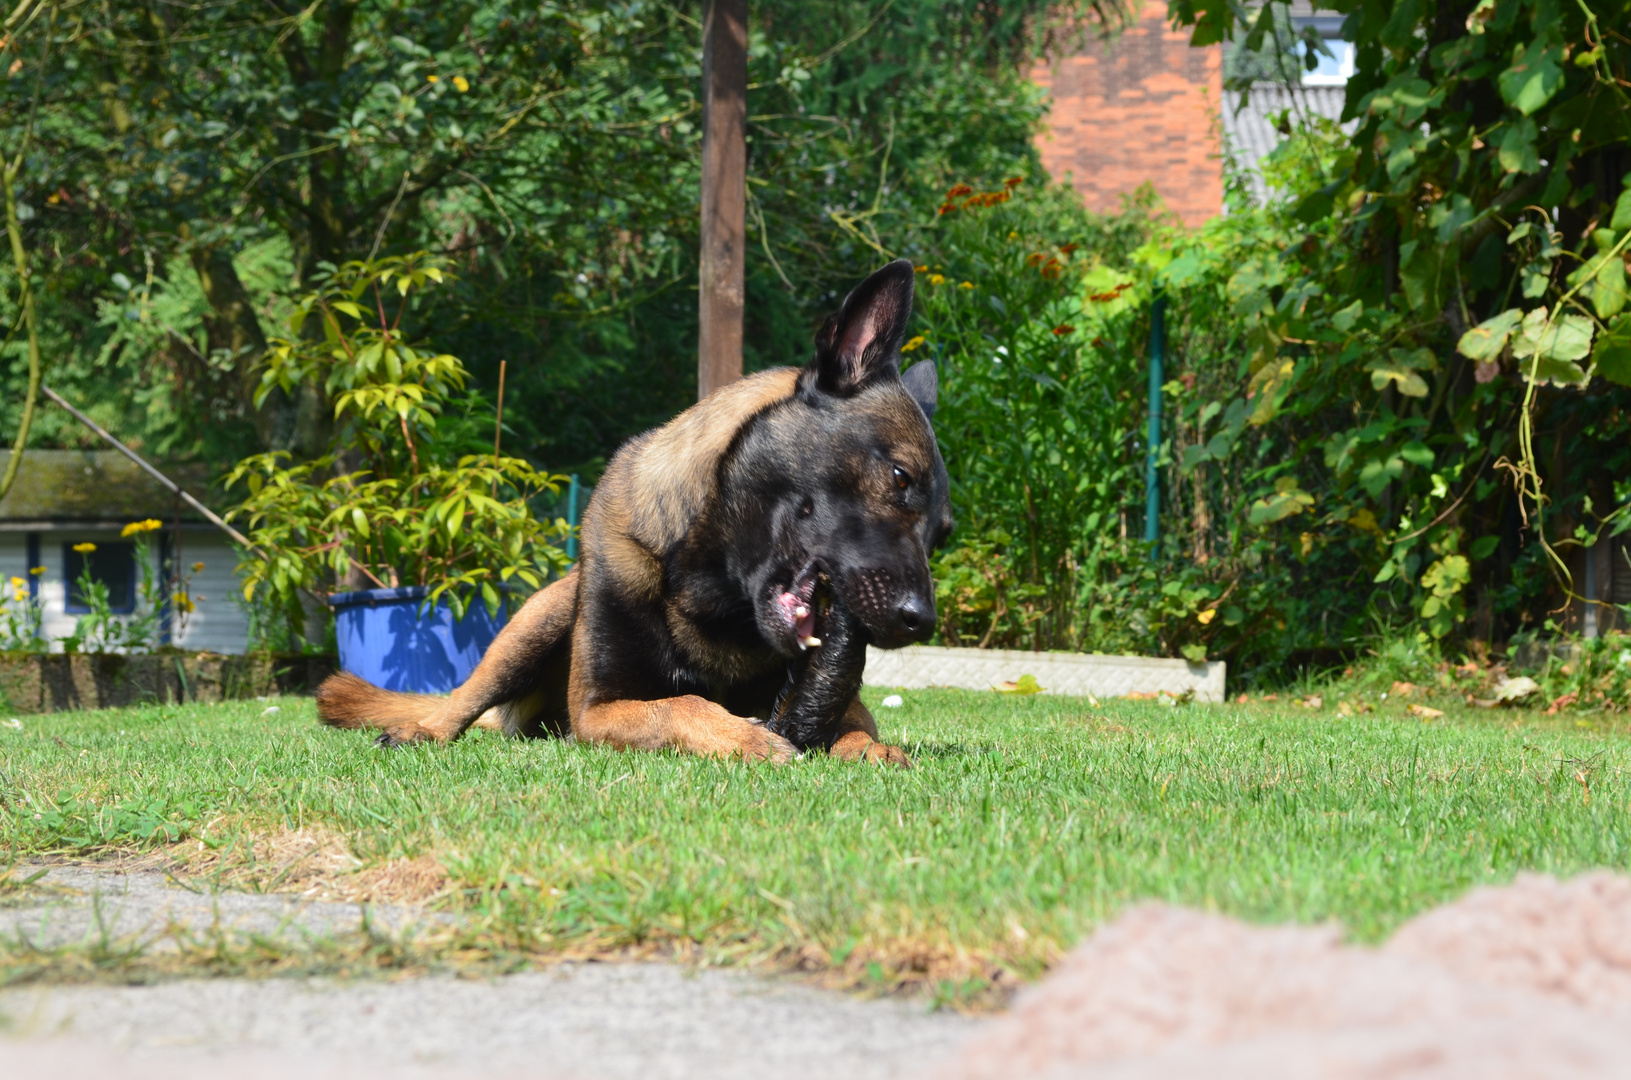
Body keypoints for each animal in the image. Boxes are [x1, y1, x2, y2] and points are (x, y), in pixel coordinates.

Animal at [313, 261, 952, 770]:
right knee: (459, 702)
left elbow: (852, 725)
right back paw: (419, 729)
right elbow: (683, 704)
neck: (708, 597)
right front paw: (745, 737)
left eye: (941, 535)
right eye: (900, 478)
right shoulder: (600, 710)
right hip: (539, 618)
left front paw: (869, 748)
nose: (920, 621)